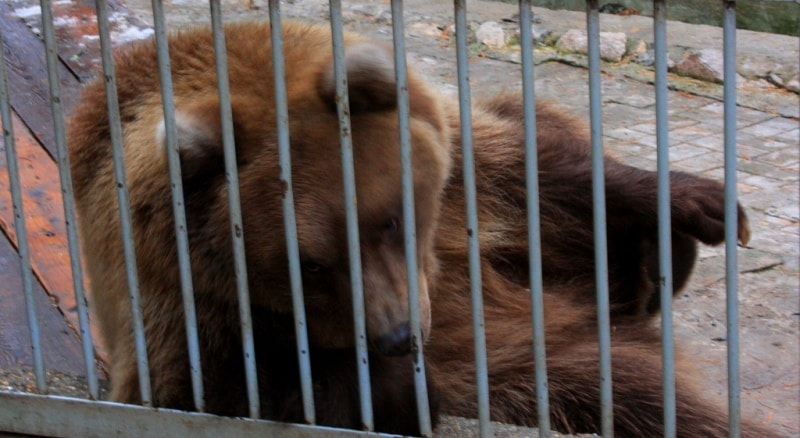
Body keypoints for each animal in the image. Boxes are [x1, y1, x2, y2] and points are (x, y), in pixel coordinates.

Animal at [69, 19, 776, 438]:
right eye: (310, 265)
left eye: (390, 219)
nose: (399, 335)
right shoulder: (179, 291)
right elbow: (208, 389)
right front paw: (396, 389)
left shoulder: (464, 176)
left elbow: (540, 173)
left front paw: (698, 205)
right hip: (532, 363)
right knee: (634, 393)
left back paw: (658, 262)